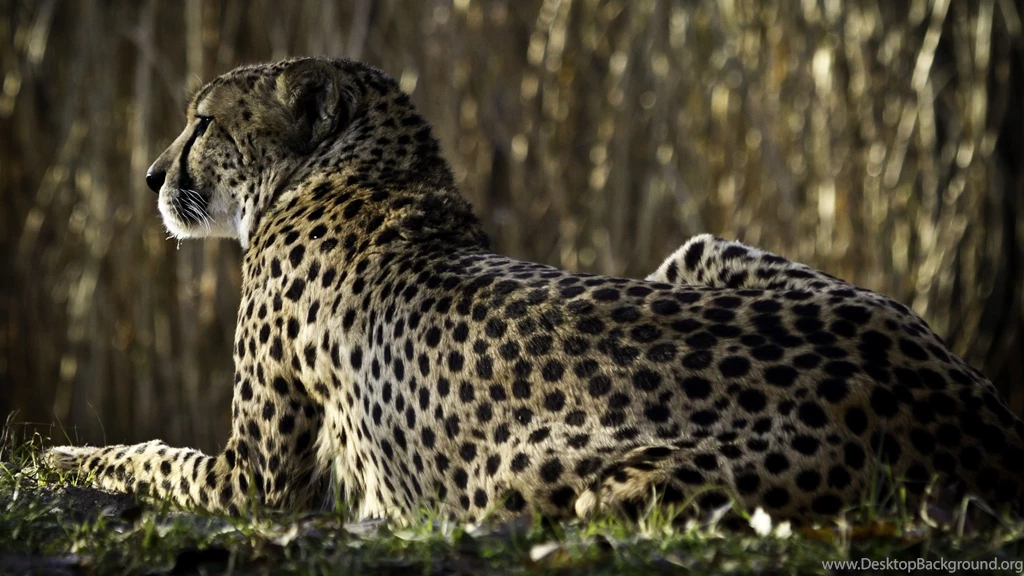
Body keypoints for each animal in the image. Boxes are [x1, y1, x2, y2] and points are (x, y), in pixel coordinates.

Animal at [45, 57, 1024, 525]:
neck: (354, 168)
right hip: (705, 250)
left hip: (564, 483)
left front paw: (57, 456)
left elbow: (147, 455)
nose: (148, 176)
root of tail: (972, 416)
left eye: (203, 122)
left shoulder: (256, 480)